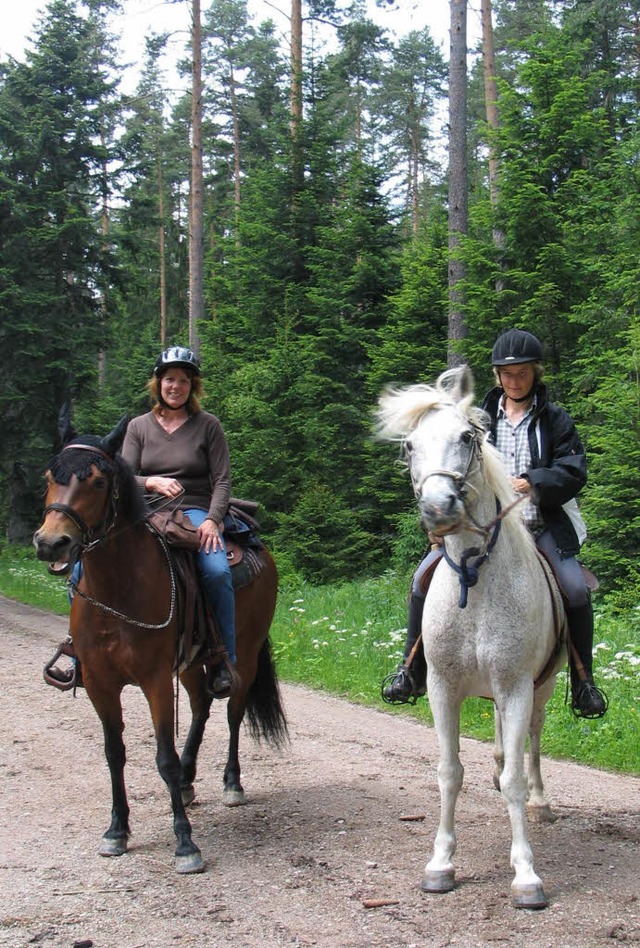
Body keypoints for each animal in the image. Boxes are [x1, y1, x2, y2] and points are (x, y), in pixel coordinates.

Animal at [32, 414, 288, 872]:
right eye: (49, 477)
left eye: (98, 481)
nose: (51, 543)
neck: (118, 590)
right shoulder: (99, 683)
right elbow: (114, 753)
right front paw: (116, 831)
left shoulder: (154, 681)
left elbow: (163, 758)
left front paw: (185, 843)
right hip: (189, 663)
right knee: (201, 706)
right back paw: (188, 780)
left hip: (243, 657)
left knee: (233, 714)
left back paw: (231, 784)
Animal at [378, 364, 568, 912]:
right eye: (410, 446)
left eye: (466, 438)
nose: (439, 507)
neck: (475, 576)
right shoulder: (442, 688)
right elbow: (450, 771)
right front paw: (440, 863)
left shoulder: (516, 686)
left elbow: (516, 778)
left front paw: (526, 874)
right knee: (505, 748)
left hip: (542, 689)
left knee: (532, 743)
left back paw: (541, 802)